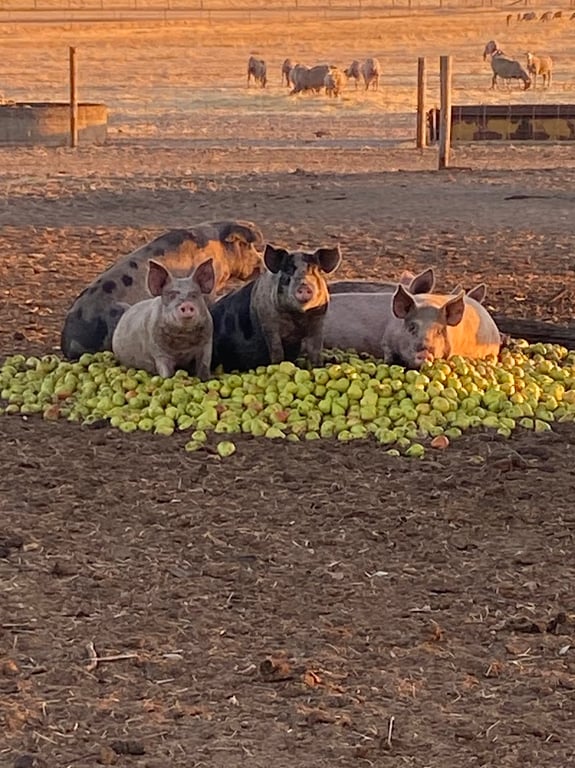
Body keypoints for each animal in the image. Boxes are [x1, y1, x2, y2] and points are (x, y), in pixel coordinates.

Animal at [210, 243, 342, 373]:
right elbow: (277, 351)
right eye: (288, 271)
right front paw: (278, 365)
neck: (297, 317)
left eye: (316, 271)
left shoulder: (318, 322)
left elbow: (315, 350)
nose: (304, 286)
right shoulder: (269, 322)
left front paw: (318, 366)